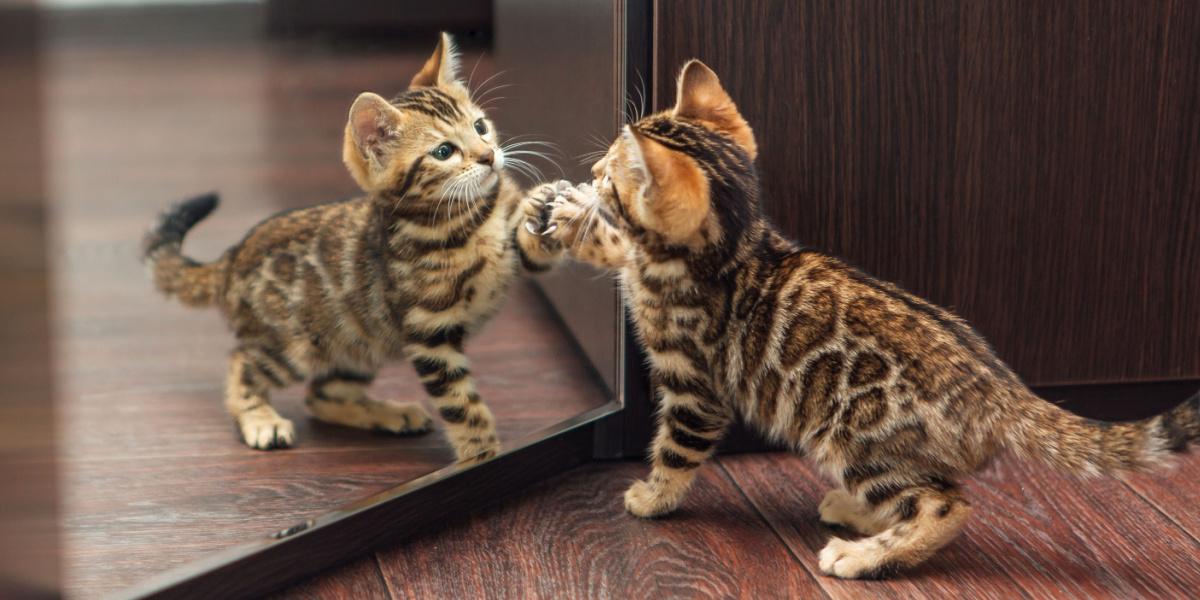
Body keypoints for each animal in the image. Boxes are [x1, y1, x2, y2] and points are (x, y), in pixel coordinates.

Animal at [142, 35, 564, 460]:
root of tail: (231, 257)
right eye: (444, 151)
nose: (489, 156)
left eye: (480, 127)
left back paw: (391, 415)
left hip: (359, 339)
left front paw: (550, 208)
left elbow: (531, 241)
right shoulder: (430, 333)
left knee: (320, 394)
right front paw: (482, 455)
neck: (467, 220)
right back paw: (260, 420)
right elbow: (463, 406)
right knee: (243, 363)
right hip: (295, 346)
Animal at [535, 59, 1200, 576]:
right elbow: (619, 248)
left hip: (856, 437)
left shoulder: (695, 388)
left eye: (615, 174)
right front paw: (570, 217)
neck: (733, 245)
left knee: (945, 505)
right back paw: (854, 514)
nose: (592, 174)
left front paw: (653, 497)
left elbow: (676, 449)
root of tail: (1001, 390)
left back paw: (861, 556)